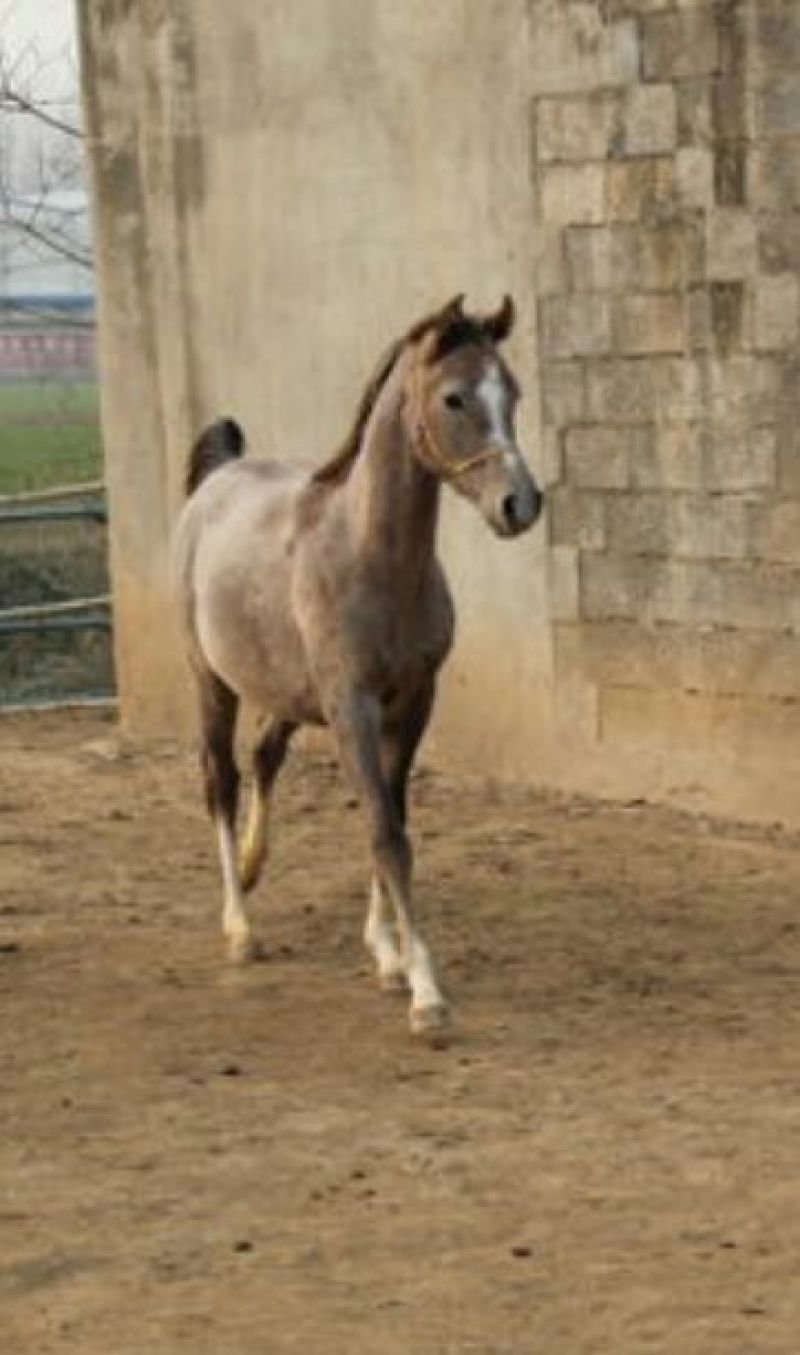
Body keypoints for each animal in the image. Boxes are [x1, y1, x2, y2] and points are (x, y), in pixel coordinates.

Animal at [172, 294, 542, 1034]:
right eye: (454, 397)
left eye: (511, 392)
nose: (520, 503)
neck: (369, 556)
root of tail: (218, 477)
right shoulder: (352, 708)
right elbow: (385, 832)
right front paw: (426, 991)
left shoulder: (414, 702)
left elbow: (393, 820)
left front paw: (388, 954)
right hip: (213, 683)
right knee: (220, 778)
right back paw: (240, 925)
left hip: (286, 693)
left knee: (263, 755)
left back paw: (253, 868)